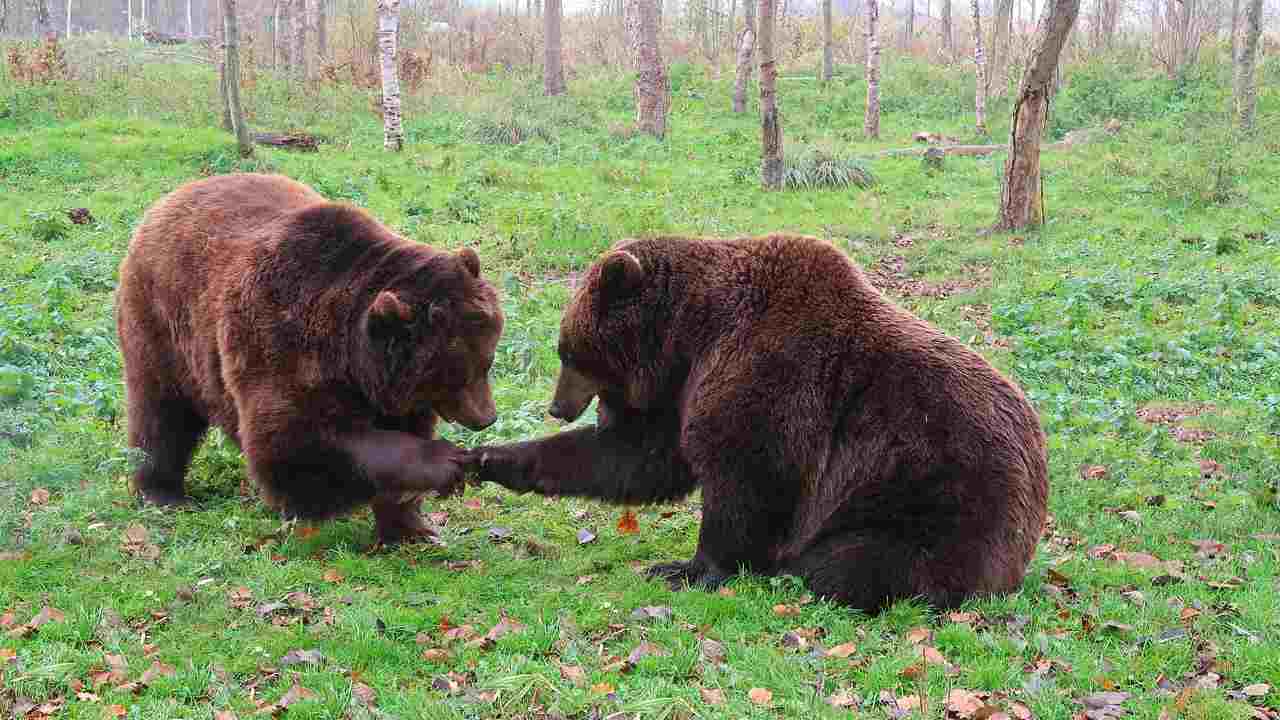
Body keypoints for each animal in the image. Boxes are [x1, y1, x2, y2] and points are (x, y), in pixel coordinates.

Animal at [116, 174, 504, 543]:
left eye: (486, 362)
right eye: (457, 376)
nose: (486, 417)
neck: (352, 358)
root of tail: (168, 199)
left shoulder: (390, 392)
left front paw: (412, 528)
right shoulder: (281, 344)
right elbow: (297, 445)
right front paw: (444, 463)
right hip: (163, 326)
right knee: (162, 414)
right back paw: (162, 493)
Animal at [481, 234, 1049, 604]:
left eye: (569, 353)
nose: (557, 407)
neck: (690, 334)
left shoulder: (769, 376)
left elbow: (747, 478)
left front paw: (686, 568)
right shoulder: (685, 389)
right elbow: (640, 457)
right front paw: (491, 459)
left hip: (933, 498)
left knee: (853, 564)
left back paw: (800, 570)